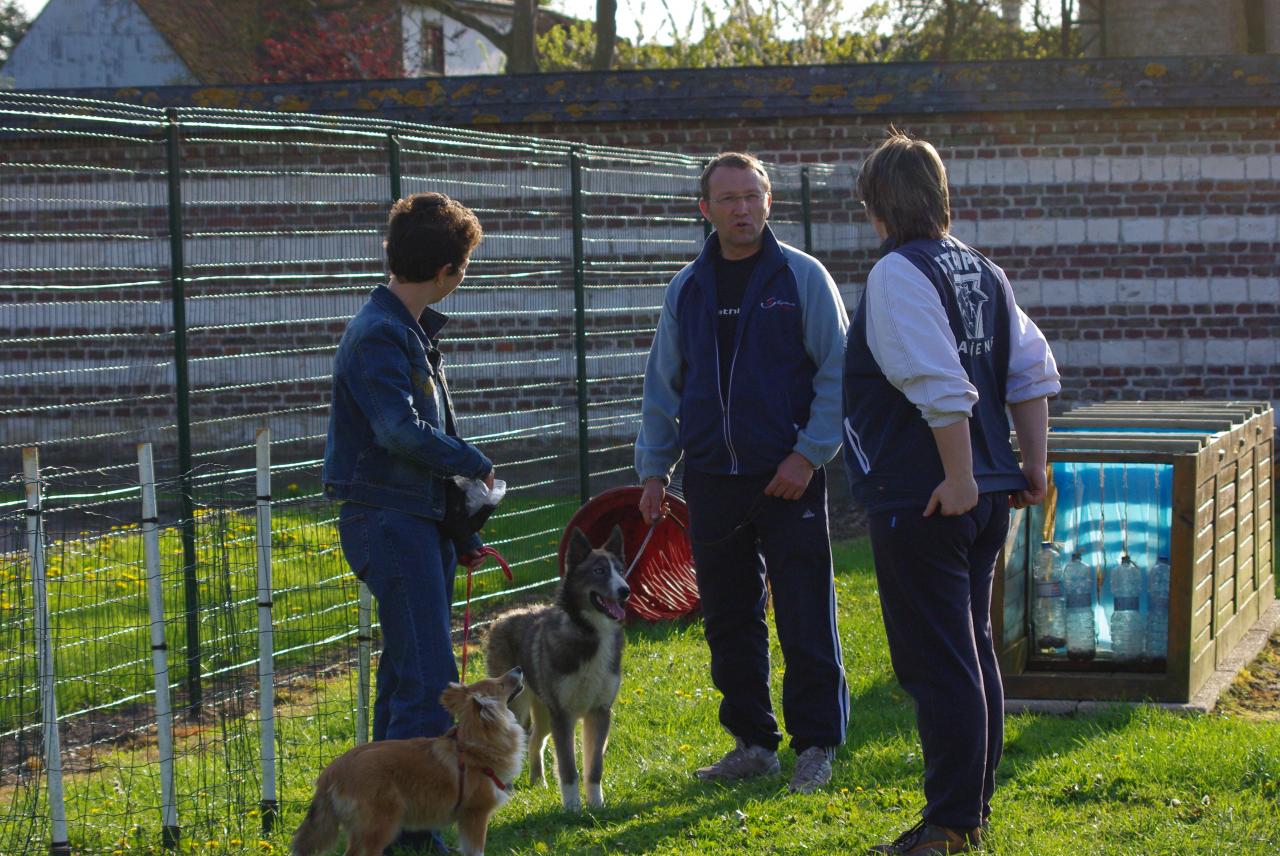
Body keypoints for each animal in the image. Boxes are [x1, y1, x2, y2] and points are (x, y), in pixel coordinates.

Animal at [290, 665, 524, 854]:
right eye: (501, 684)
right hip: (379, 826)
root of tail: (333, 769)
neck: (477, 744)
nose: (518, 668)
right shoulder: (475, 814)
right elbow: (476, 851)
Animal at [483, 524, 629, 813]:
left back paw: (538, 782)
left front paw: (596, 805)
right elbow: (568, 767)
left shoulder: (599, 712)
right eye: (599, 571)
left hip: (543, 712)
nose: (625, 591)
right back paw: (510, 790)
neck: (591, 634)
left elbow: (594, 767)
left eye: (620, 569)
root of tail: (501, 617)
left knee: (535, 741)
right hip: (518, 708)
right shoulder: (563, 715)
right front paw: (572, 809)